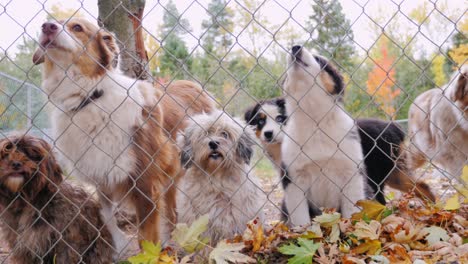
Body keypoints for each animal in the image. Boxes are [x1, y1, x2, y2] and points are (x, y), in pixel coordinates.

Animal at [32, 17, 215, 253]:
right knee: (172, 212)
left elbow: (146, 237)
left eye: (77, 28)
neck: (90, 97)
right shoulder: (102, 179)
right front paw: (119, 249)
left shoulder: (145, 182)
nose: (47, 26)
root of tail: (193, 84)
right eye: (52, 22)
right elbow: (107, 217)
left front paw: (150, 255)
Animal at [280, 46, 368, 225]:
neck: (316, 122)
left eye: (318, 59)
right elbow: (301, 219)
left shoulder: (352, 174)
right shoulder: (293, 179)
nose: (295, 47)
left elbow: (352, 213)